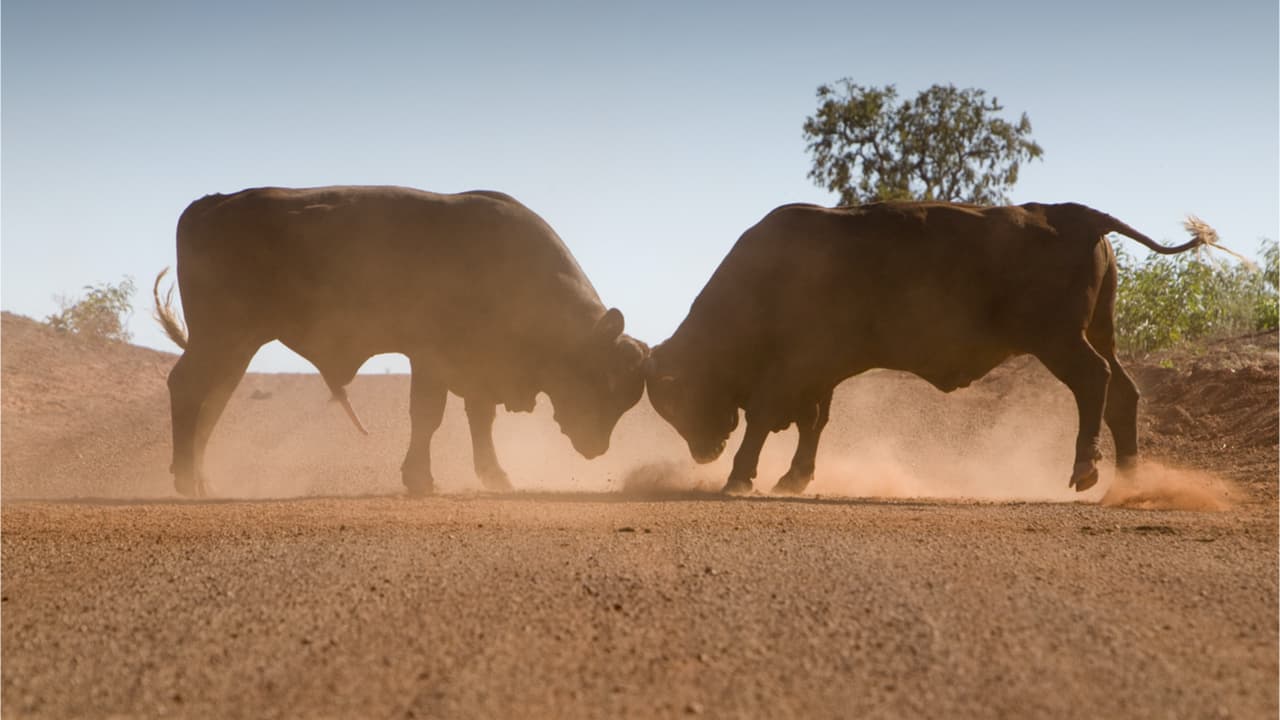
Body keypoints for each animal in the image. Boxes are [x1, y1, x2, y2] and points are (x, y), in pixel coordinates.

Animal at [154, 186, 648, 498]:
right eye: (602, 377)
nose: (596, 447)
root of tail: (210, 204)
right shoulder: (432, 359)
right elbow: (428, 417)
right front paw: (420, 479)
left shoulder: (476, 371)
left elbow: (478, 421)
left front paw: (494, 475)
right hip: (219, 338)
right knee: (189, 389)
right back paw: (188, 482)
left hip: (237, 345)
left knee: (212, 401)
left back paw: (201, 480)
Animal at [645, 201, 1224, 495]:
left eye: (676, 399)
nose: (704, 452)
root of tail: (1076, 215)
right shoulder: (822, 371)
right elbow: (813, 422)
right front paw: (794, 477)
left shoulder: (797, 365)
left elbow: (767, 416)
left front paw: (739, 476)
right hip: (1099, 333)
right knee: (1123, 393)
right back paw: (1128, 479)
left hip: (1059, 341)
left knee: (1094, 382)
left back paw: (1086, 469)